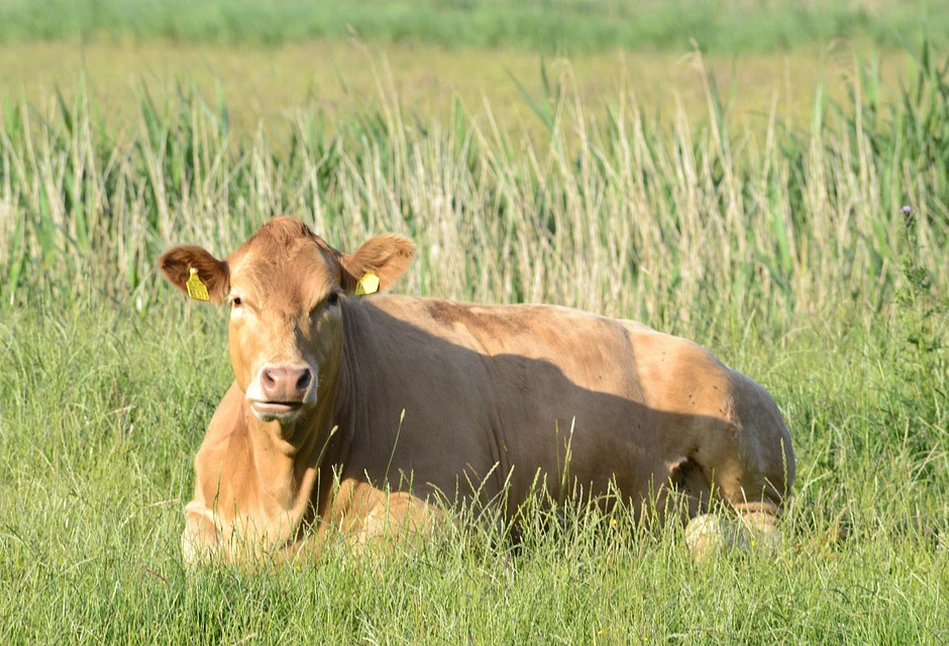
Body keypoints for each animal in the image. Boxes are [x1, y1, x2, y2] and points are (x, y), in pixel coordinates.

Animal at [161, 216, 792, 560]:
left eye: (331, 298)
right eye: (238, 300)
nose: (286, 377)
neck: (284, 490)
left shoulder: (453, 516)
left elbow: (360, 552)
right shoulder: (200, 514)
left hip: (745, 466)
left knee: (735, 531)